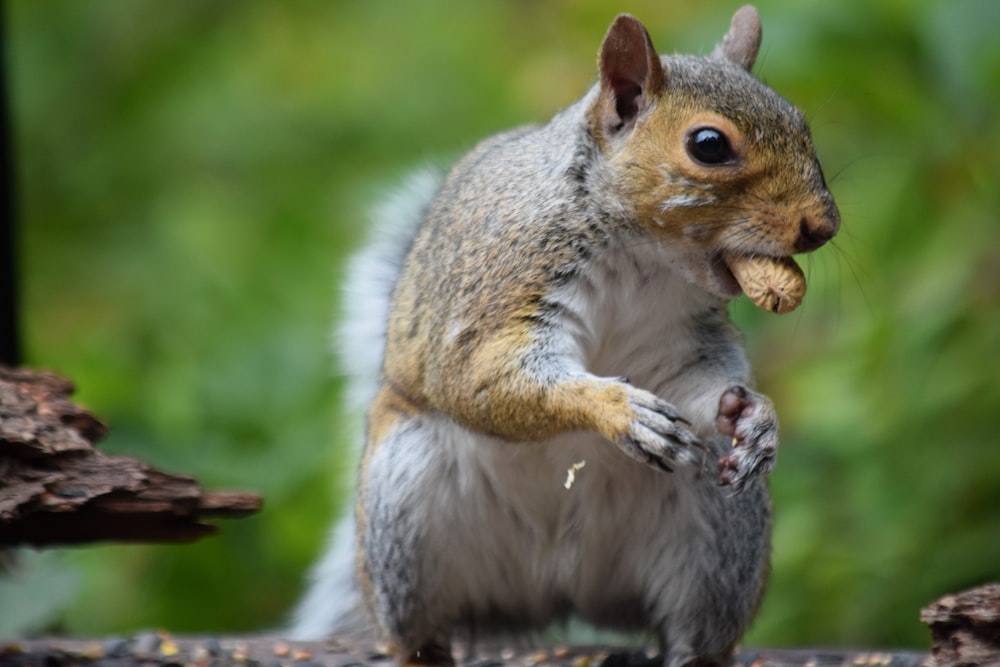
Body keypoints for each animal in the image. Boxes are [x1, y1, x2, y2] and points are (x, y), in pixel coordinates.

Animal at [292, 6, 840, 667]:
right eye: (708, 145)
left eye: (799, 121)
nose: (824, 226)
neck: (642, 257)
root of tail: (555, 592)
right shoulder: (500, 295)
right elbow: (482, 381)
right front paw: (619, 409)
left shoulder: (682, 340)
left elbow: (699, 385)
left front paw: (753, 414)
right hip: (404, 516)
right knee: (417, 633)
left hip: (721, 534)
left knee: (694, 629)